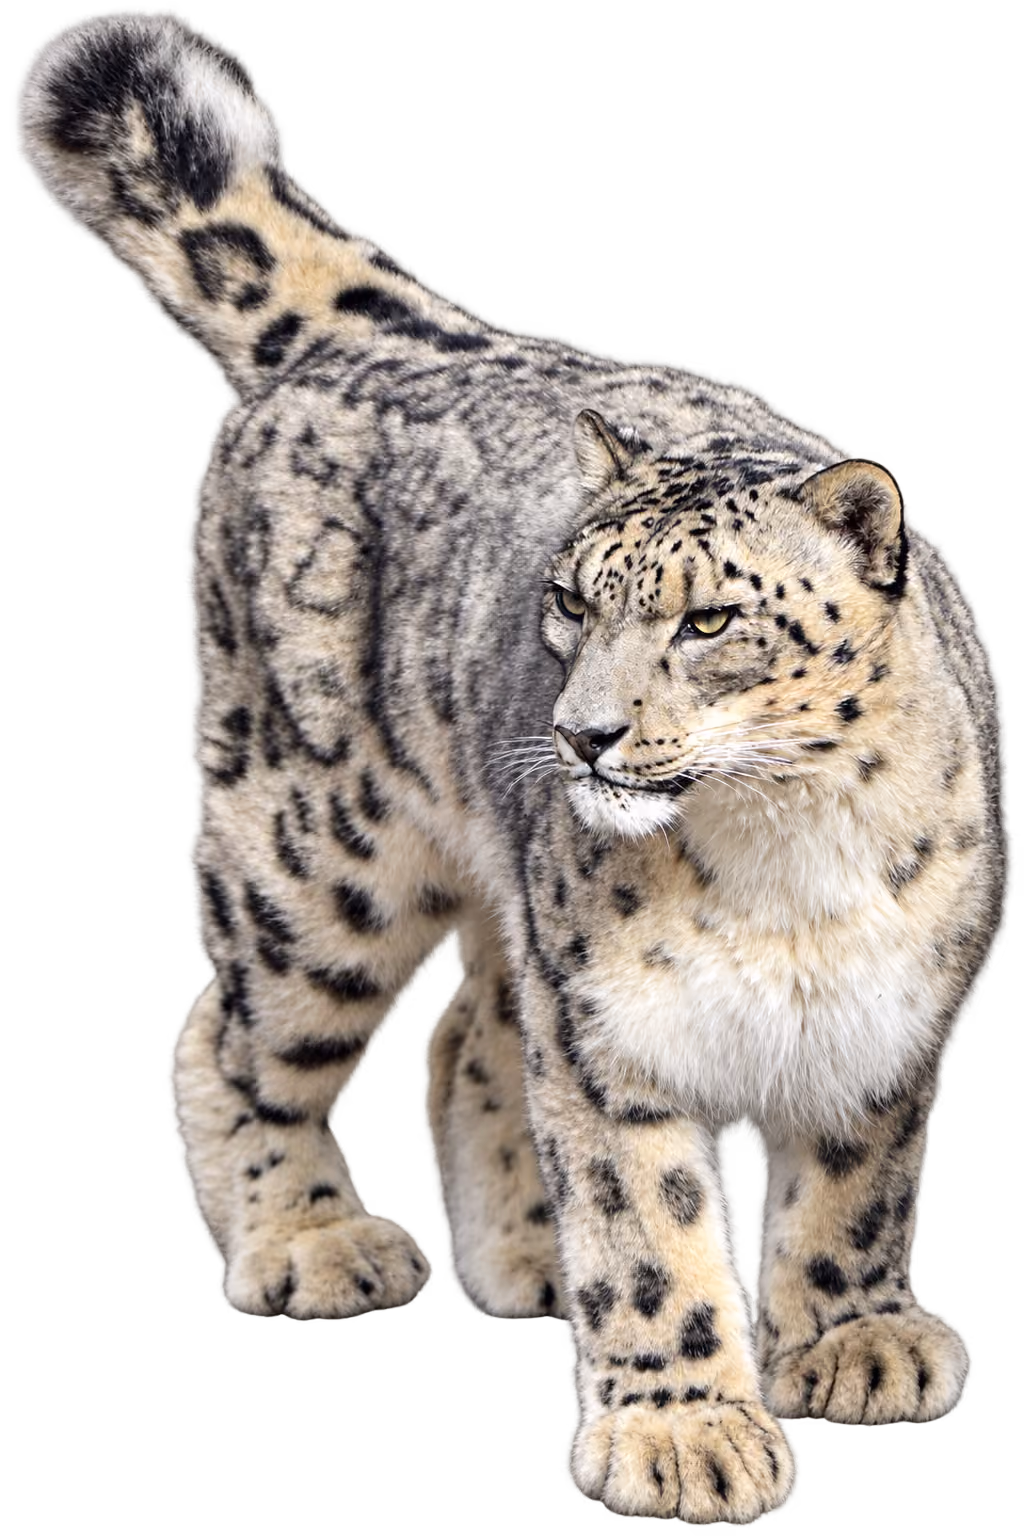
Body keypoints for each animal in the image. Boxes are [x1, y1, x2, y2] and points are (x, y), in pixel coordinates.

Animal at [24, 18, 1003, 1523]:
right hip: (319, 855)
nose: (582, 733)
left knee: (475, 1032)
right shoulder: (610, 1028)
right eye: (568, 598)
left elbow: (858, 1183)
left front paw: (853, 1341)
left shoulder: (884, 1011)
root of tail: (402, 332)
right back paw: (306, 1242)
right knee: (235, 1033)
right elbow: (649, 1221)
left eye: (707, 621)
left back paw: (527, 1258)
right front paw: (683, 1431)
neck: (789, 856)